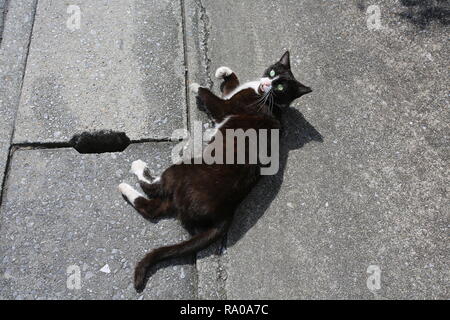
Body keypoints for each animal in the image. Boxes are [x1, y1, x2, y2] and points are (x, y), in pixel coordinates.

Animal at [118, 50, 312, 292]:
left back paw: (134, 173)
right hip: (176, 196)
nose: (267, 83)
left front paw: (194, 85)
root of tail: (225, 214)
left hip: (183, 171)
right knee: (152, 208)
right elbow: (231, 85)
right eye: (273, 73)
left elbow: (211, 97)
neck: (268, 100)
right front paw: (224, 72)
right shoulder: (234, 96)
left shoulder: (227, 108)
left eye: (280, 87)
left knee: (152, 192)